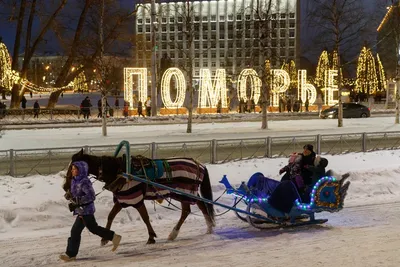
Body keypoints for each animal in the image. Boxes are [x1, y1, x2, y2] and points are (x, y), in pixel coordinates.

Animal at [65, 150, 216, 246]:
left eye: (73, 167)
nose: (65, 187)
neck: (120, 171)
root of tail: (199, 164)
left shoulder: (136, 199)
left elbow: (145, 218)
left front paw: (151, 237)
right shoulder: (122, 199)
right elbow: (110, 216)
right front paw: (104, 239)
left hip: (183, 192)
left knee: (186, 211)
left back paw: (173, 233)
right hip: (187, 192)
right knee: (201, 205)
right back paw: (209, 227)